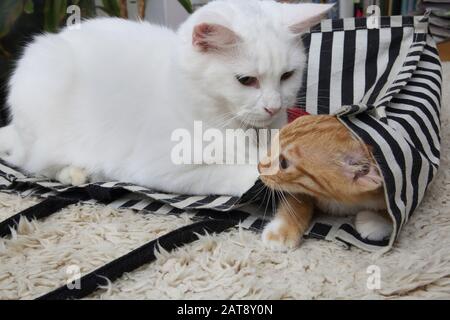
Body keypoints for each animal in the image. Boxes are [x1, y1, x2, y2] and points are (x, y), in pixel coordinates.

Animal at [0, 0, 330, 196]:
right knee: (34, 162)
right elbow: (244, 174)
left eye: (287, 75)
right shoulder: (165, 168)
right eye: (246, 80)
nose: (273, 106)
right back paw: (75, 173)